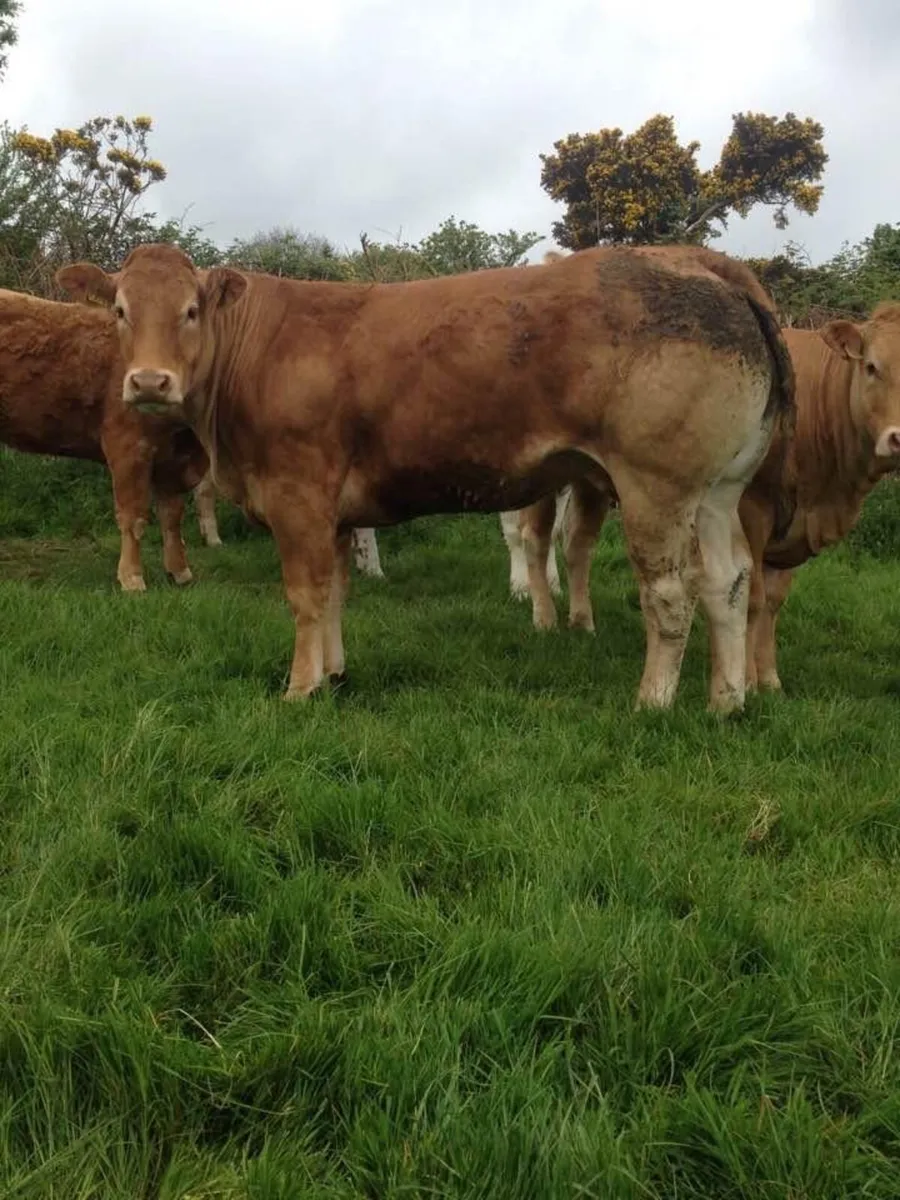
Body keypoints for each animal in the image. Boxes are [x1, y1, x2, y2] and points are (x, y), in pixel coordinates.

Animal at [0, 286, 215, 589]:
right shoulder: (128, 446)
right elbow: (133, 517)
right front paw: (132, 578)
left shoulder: (174, 460)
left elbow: (172, 516)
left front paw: (180, 571)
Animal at [56, 241, 794, 713]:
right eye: (120, 310)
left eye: (190, 310)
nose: (150, 382)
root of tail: (699, 259)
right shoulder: (335, 513)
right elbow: (336, 594)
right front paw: (334, 675)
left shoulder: (298, 497)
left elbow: (305, 596)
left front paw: (299, 688)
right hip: (718, 492)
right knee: (726, 582)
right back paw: (726, 700)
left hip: (655, 487)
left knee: (669, 594)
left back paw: (654, 701)